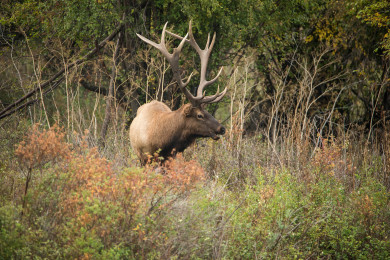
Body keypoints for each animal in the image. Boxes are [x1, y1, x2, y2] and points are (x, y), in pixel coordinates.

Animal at [129, 21, 227, 165]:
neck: (161, 140)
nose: (222, 128)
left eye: (208, 111)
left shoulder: (171, 156)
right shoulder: (144, 157)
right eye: (199, 115)